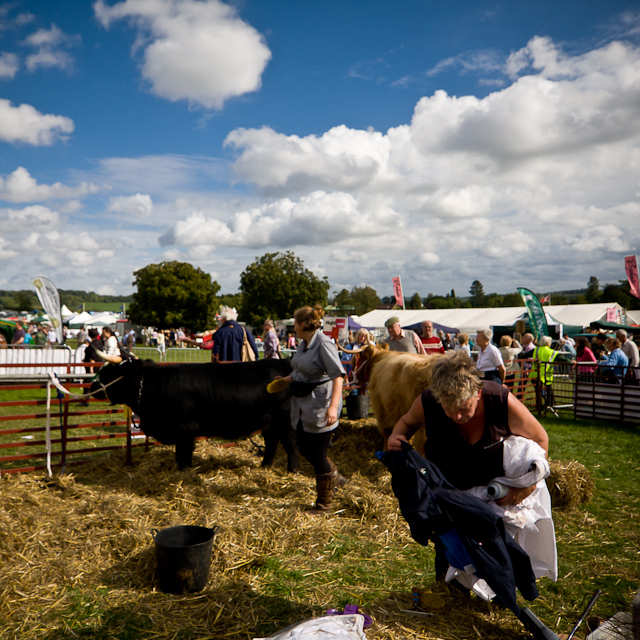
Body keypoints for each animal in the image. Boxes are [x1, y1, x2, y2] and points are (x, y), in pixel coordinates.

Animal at [92, 360, 298, 470]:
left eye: (113, 373)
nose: (92, 385)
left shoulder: (185, 429)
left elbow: (183, 455)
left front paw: (184, 473)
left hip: (287, 421)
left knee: (290, 446)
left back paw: (292, 470)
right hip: (270, 422)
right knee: (272, 443)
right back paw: (265, 466)